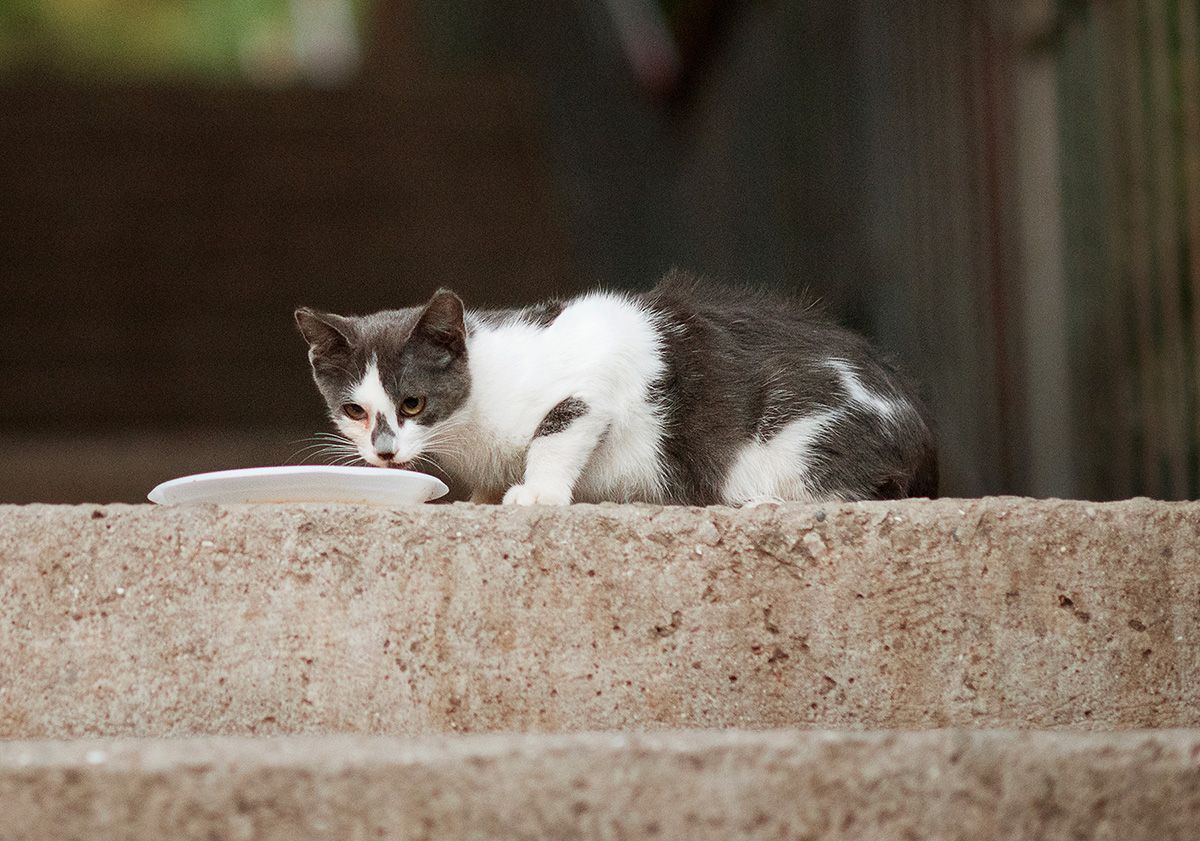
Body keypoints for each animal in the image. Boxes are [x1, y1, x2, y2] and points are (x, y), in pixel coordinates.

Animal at [292, 271, 936, 506]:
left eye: (413, 402)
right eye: (353, 410)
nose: (384, 451)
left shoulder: (598, 371)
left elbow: (556, 431)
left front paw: (537, 494)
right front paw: (483, 497)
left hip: (796, 439)